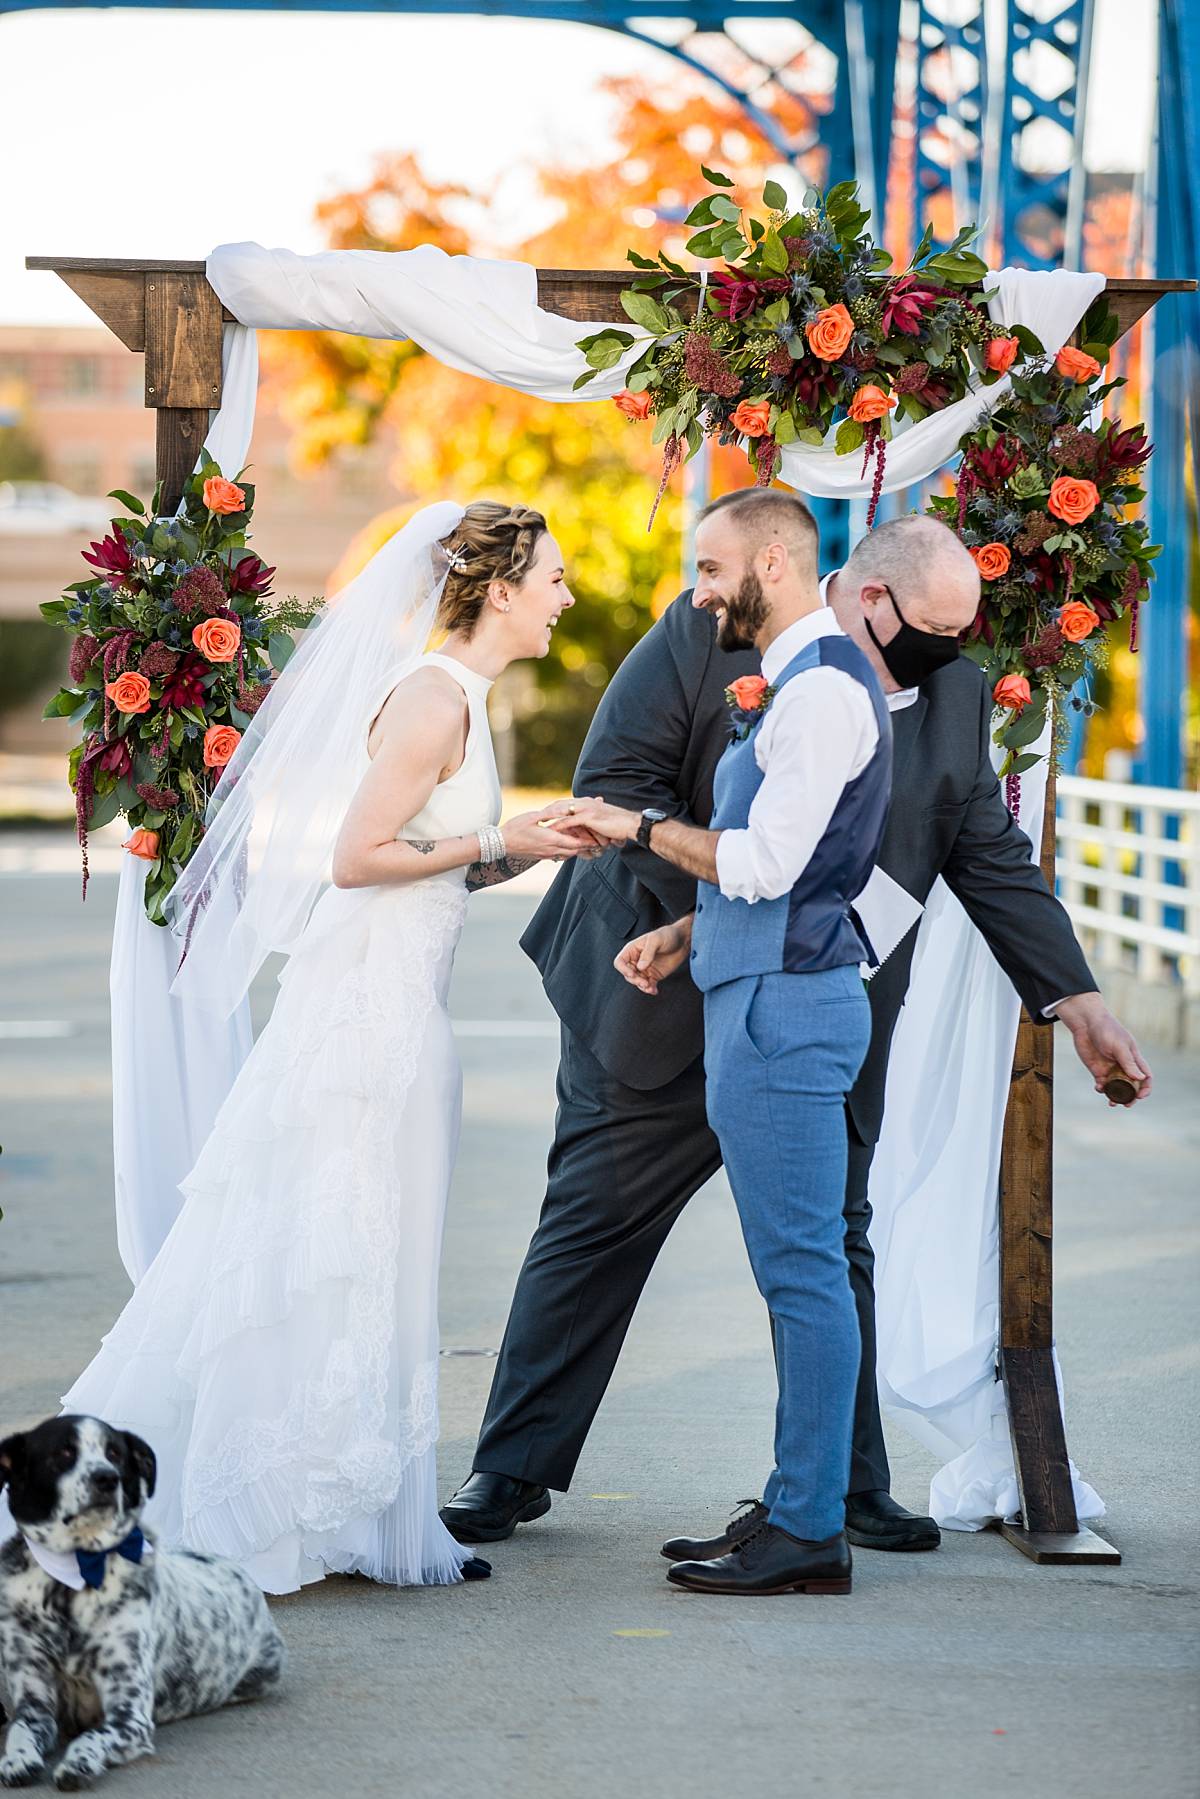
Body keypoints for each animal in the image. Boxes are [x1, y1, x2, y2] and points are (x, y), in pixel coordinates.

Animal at [0, 1417, 286, 1784]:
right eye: (63, 1452)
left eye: (114, 1453)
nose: (107, 1478)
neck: (75, 1575)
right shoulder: (34, 1702)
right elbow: (19, 1731)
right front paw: (17, 1759)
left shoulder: (130, 1714)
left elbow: (92, 1735)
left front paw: (79, 1762)